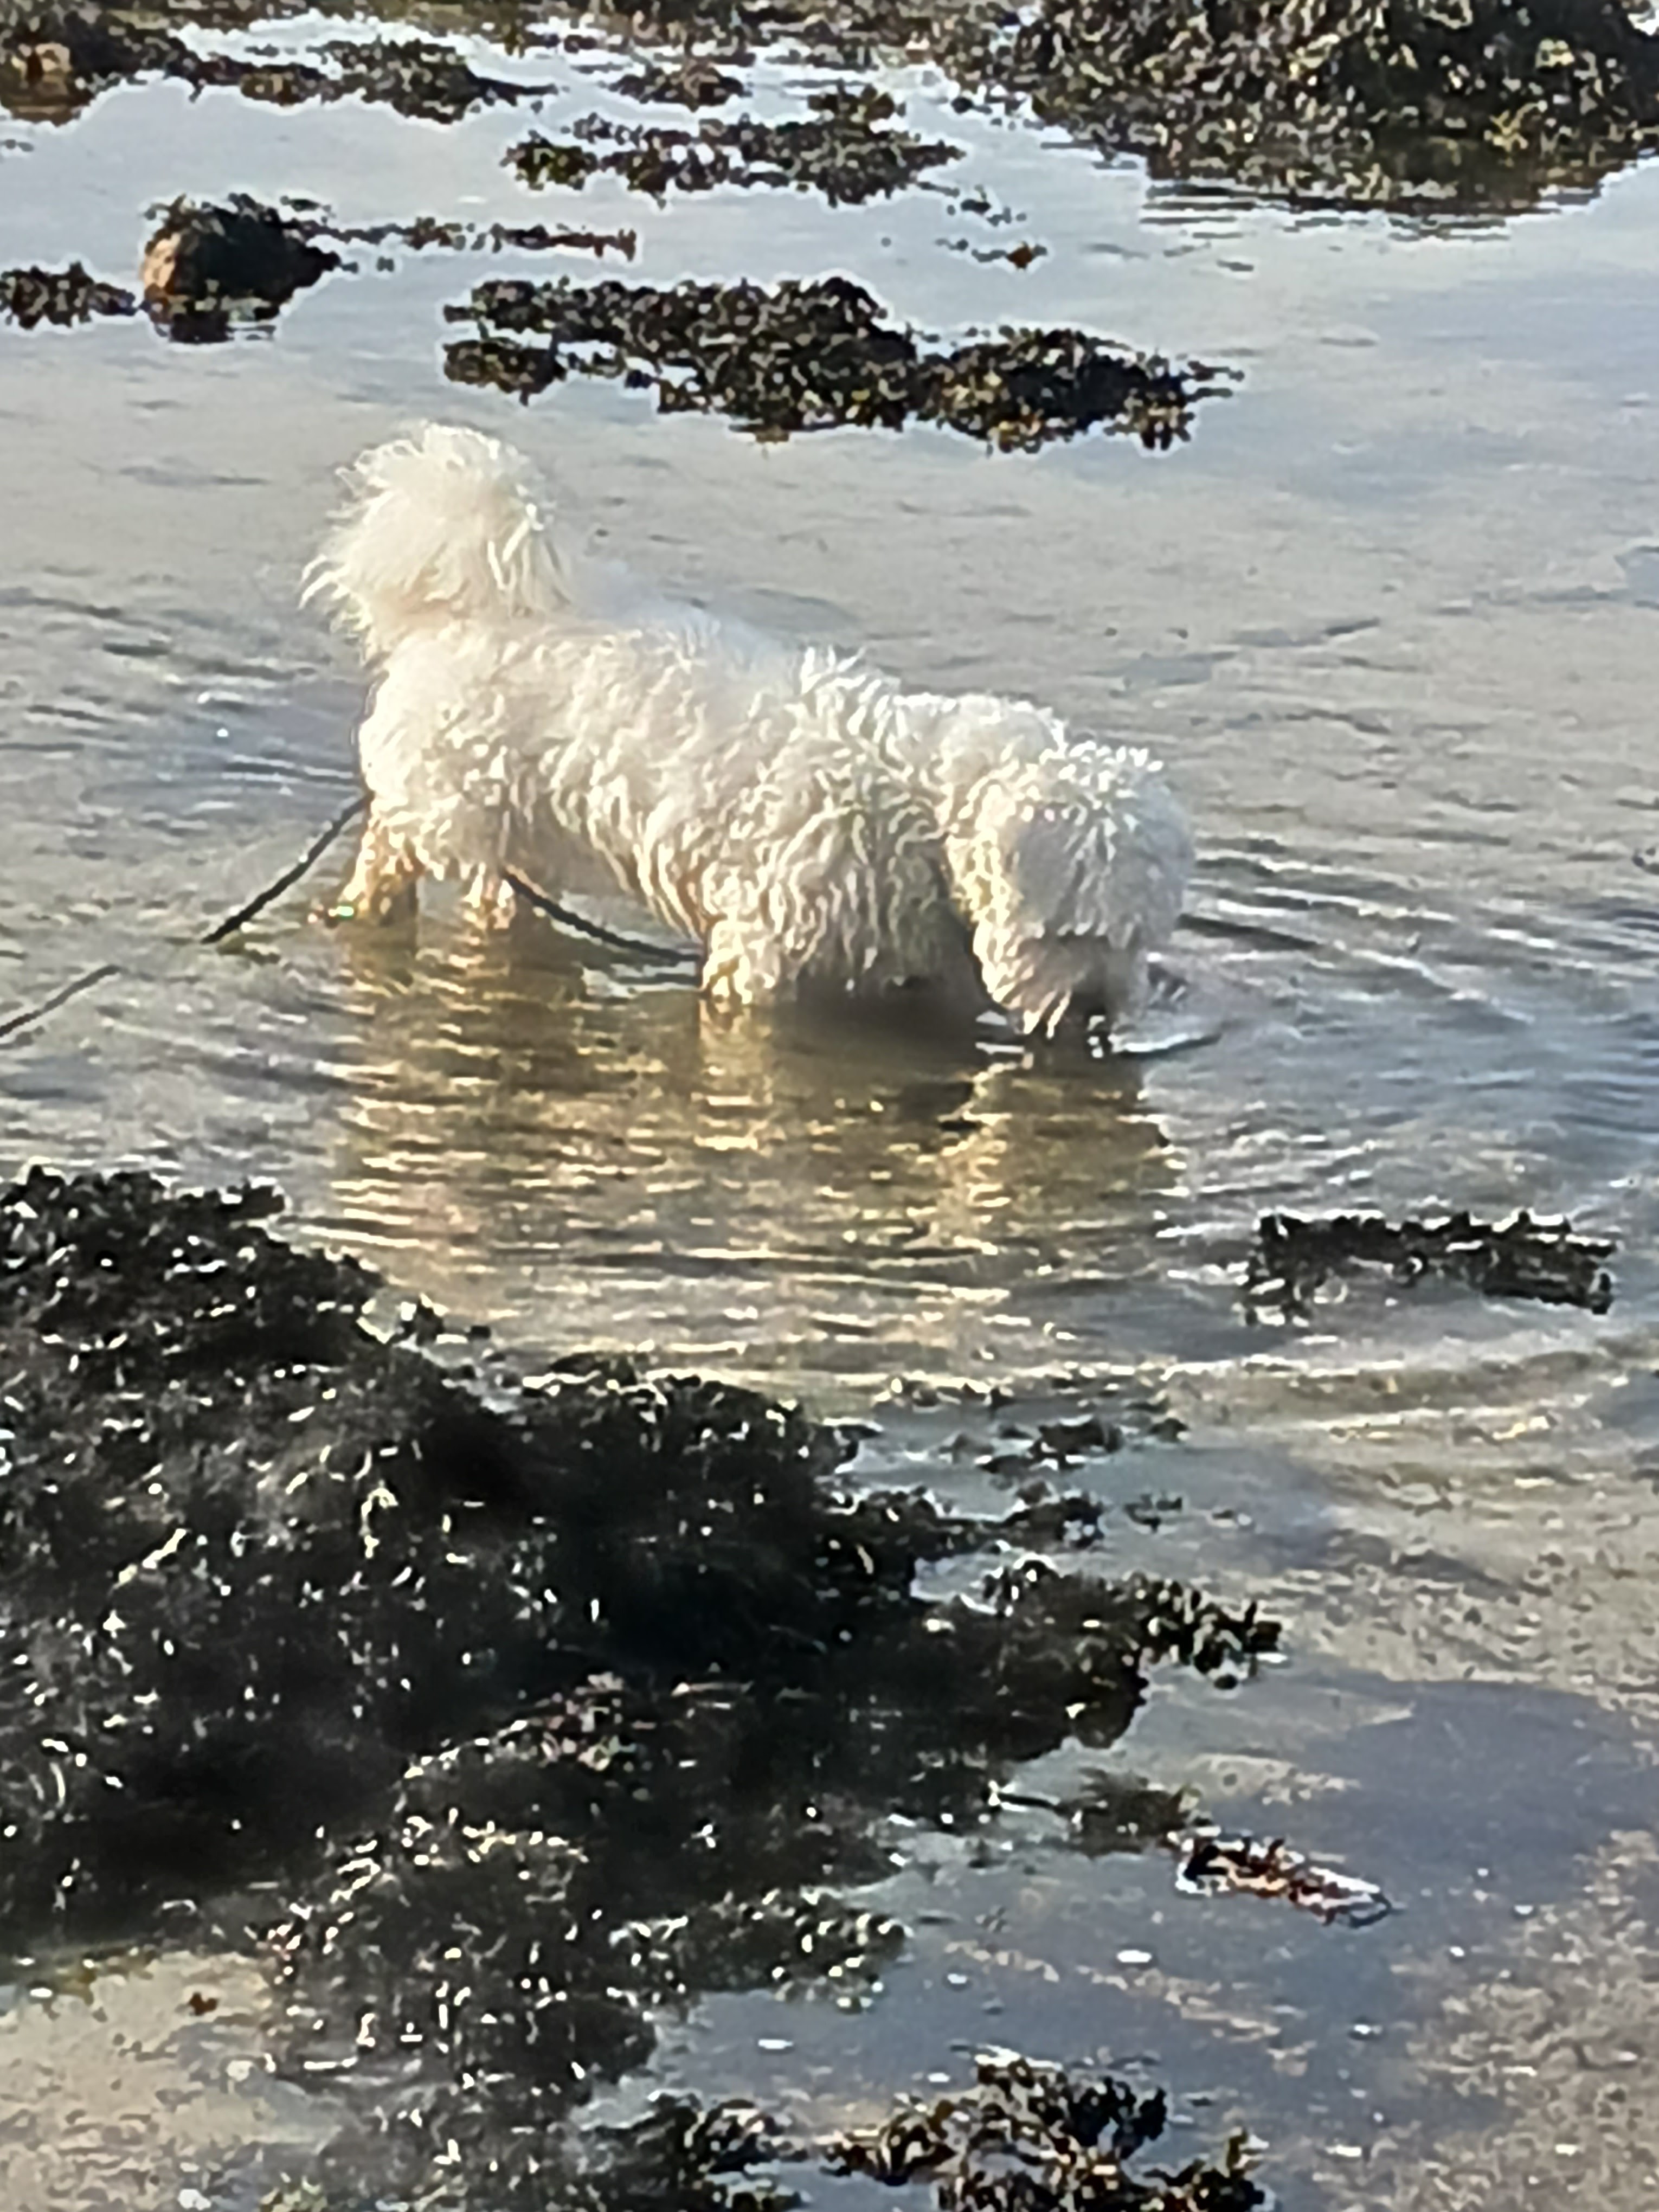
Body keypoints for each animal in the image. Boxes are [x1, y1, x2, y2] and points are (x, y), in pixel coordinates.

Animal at [308, 423, 1190, 1036]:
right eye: (1070, 934)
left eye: (1139, 939)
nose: (1099, 1009)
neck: (920, 815)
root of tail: (477, 608)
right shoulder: (763, 955)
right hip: (446, 797)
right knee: (390, 845)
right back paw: (364, 908)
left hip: (525, 824)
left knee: (503, 895)